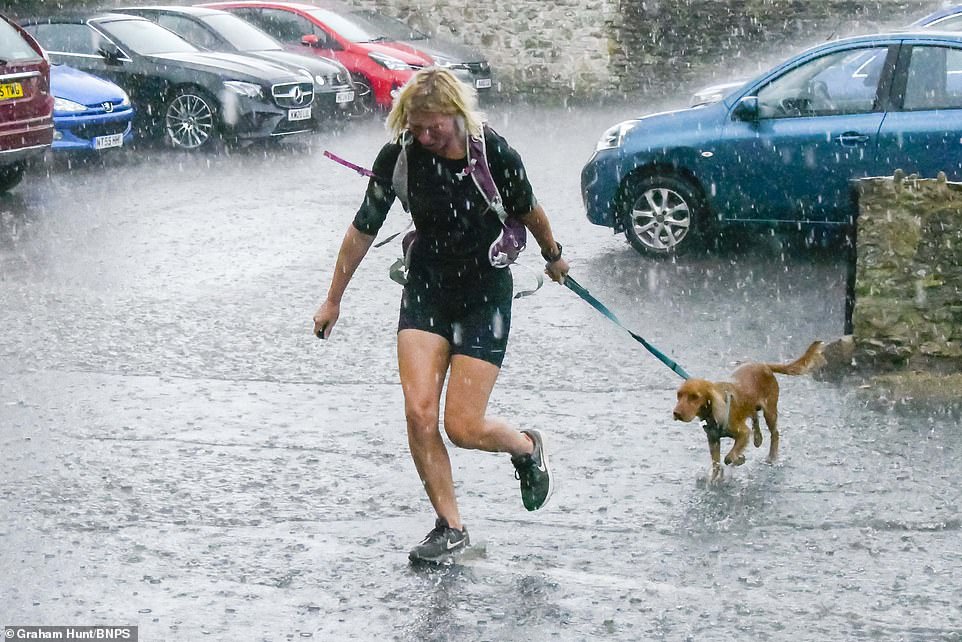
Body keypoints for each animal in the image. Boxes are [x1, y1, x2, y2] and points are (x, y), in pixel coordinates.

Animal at [672, 340, 820, 480]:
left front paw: (739, 459)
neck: (712, 412)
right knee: (755, 417)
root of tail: (764, 365)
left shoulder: (743, 433)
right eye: (679, 395)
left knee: (775, 433)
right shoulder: (713, 439)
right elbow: (716, 463)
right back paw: (758, 438)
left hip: (770, 412)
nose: (676, 413)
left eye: (695, 397)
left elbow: (729, 457)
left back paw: (771, 458)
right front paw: (714, 479)